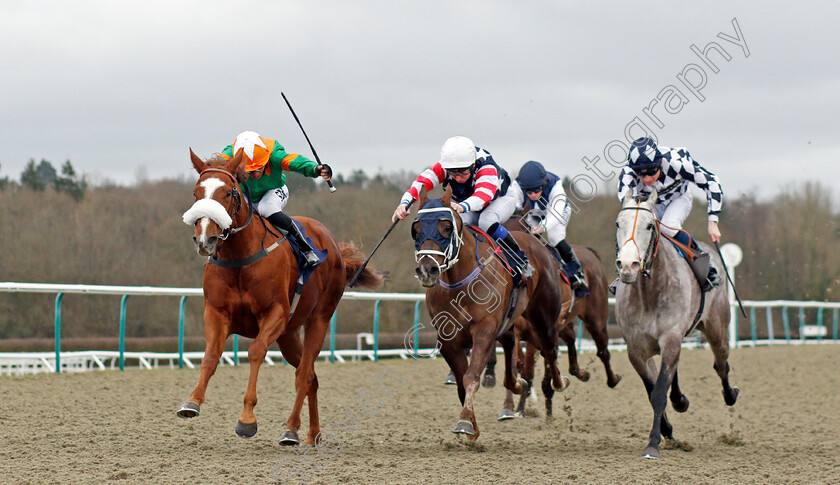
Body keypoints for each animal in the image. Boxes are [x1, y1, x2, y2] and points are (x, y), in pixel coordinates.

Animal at [180, 149, 388, 444]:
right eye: (196, 192)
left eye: (229, 193)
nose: (204, 240)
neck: (240, 258)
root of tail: (333, 244)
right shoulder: (216, 312)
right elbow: (210, 355)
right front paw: (192, 402)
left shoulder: (275, 312)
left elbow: (256, 351)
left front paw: (247, 419)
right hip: (288, 335)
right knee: (311, 375)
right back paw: (312, 434)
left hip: (318, 319)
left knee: (305, 373)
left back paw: (290, 429)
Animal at [410, 184, 568, 438]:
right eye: (416, 229)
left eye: (446, 228)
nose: (427, 270)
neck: (459, 282)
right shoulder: (447, 339)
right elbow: (462, 382)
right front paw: (472, 429)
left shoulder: (483, 329)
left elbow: (471, 376)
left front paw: (465, 422)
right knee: (511, 344)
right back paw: (517, 384)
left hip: (543, 316)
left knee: (550, 348)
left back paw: (559, 382)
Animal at [612, 189, 740, 458]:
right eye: (618, 223)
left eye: (649, 226)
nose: (628, 266)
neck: (649, 293)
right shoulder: (636, 349)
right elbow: (652, 389)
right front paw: (665, 430)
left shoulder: (671, 338)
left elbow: (659, 393)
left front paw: (652, 443)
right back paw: (680, 400)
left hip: (717, 329)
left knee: (721, 365)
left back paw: (730, 395)